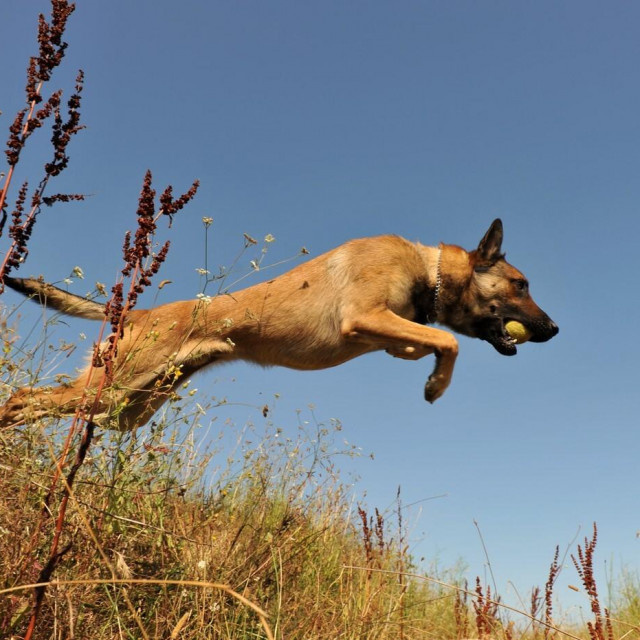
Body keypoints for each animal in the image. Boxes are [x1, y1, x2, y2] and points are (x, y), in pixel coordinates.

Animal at [0, 218, 556, 432]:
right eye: (521, 284)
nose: (553, 330)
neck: (429, 269)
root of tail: (138, 313)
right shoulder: (364, 316)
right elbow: (446, 340)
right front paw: (437, 385)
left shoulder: (385, 327)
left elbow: (426, 340)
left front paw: (426, 367)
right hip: (111, 386)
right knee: (23, 399)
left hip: (124, 409)